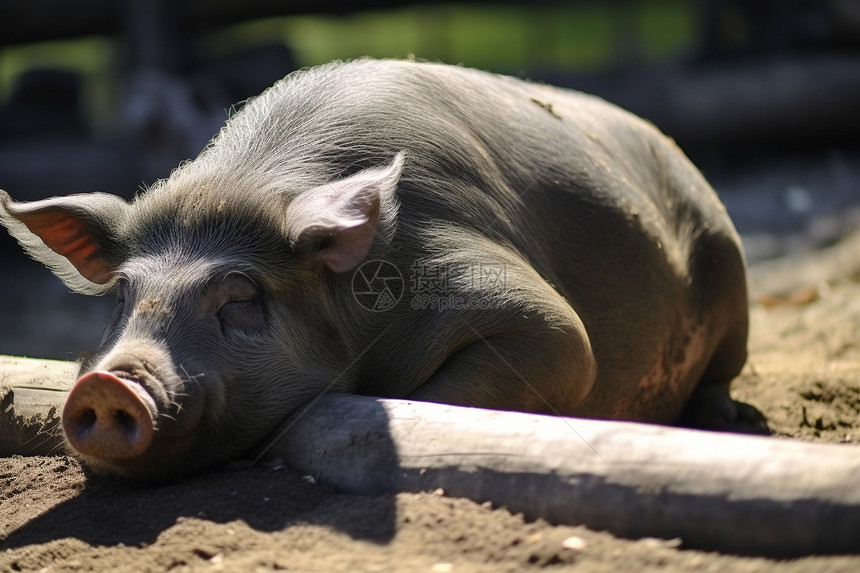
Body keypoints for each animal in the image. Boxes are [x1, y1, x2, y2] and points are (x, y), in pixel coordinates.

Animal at [0, 58, 764, 480]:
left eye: (240, 294)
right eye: (121, 297)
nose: (108, 383)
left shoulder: (516, 304)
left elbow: (548, 348)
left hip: (730, 271)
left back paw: (722, 419)